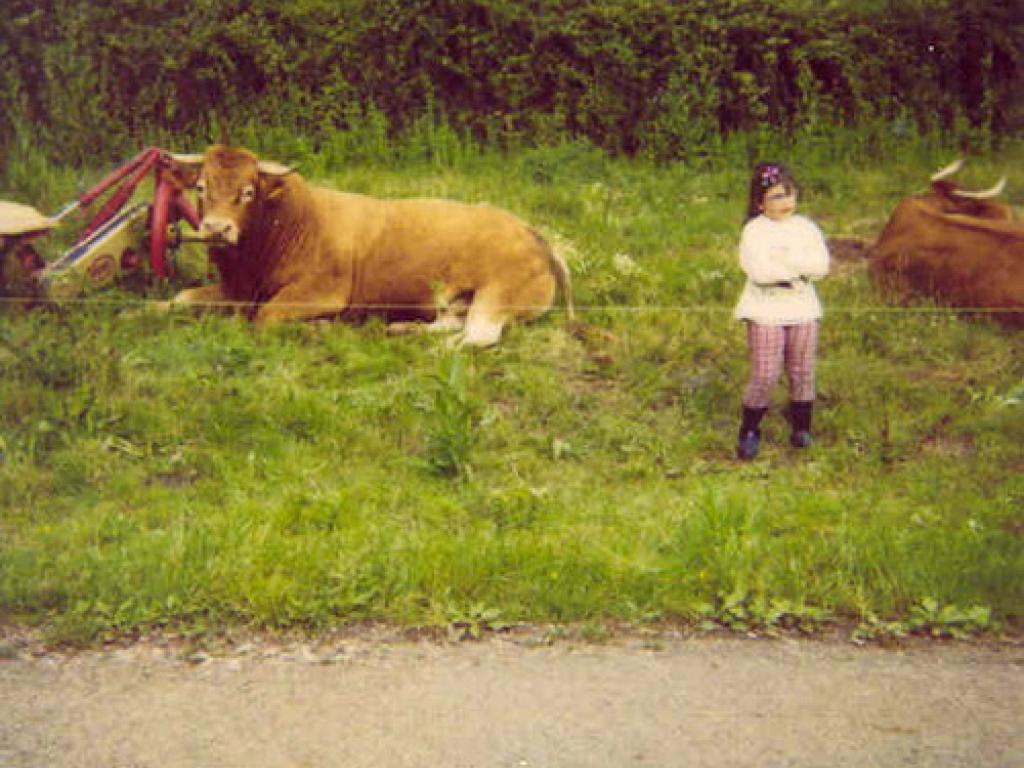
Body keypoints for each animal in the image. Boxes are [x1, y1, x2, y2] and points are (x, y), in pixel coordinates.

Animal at [163, 143, 573, 346]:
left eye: (248, 191)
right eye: (201, 187)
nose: (216, 229)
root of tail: (533, 233)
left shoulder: (318, 293)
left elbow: (264, 319)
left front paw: (322, 328)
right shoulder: (238, 289)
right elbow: (181, 298)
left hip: (497, 295)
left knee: (477, 338)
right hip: (462, 300)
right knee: (450, 326)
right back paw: (403, 330)